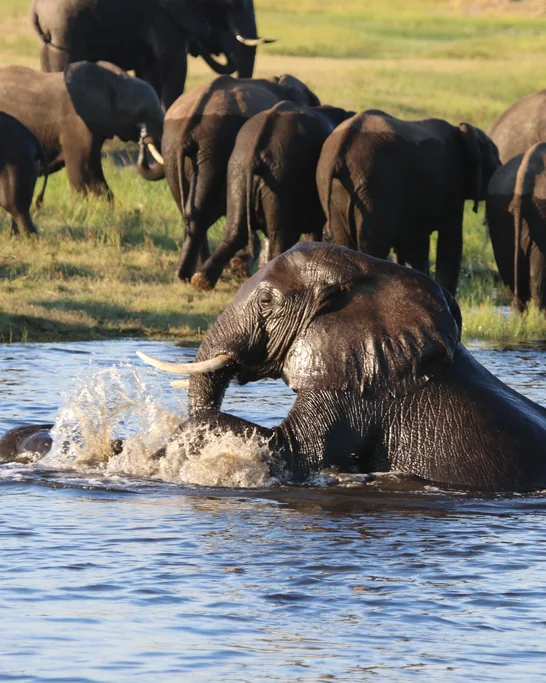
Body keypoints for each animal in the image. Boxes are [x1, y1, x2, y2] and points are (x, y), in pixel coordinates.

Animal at [31, 0, 270, 111]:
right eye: (234, 4)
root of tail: (36, 10)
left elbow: (150, 68)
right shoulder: (163, 15)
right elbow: (172, 62)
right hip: (66, 29)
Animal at [137, 75, 321, 281]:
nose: (144, 137)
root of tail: (191, 119)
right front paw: (240, 267)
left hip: (176, 148)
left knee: (190, 210)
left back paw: (186, 274)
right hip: (215, 145)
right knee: (202, 209)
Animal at [190, 102, 355, 291]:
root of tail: (258, 146)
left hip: (238, 170)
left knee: (235, 230)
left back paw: (201, 280)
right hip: (281, 177)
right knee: (279, 238)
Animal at [315, 110, 501, 295]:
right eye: (495, 159)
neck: (461, 131)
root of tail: (342, 146)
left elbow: (415, 245)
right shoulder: (453, 184)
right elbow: (450, 242)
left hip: (336, 190)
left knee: (346, 243)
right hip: (375, 189)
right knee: (372, 248)